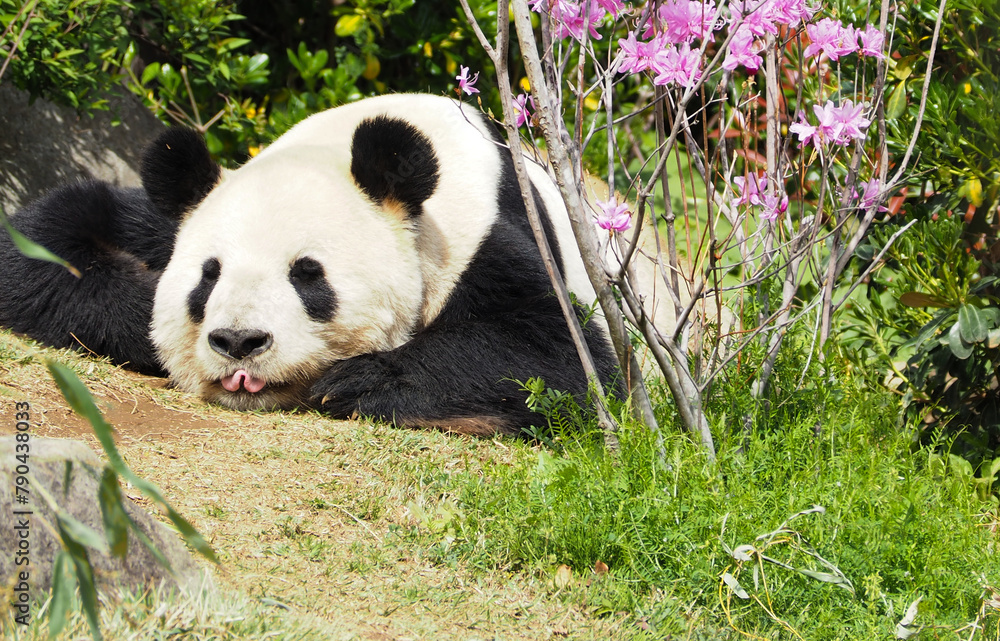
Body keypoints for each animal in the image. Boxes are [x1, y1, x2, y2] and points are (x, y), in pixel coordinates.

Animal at [0, 92, 620, 438]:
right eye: (208, 275)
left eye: (307, 274)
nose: (239, 342)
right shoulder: (164, 221)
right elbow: (42, 240)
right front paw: (148, 322)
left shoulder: (476, 233)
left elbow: (564, 356)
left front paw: (359, 381)